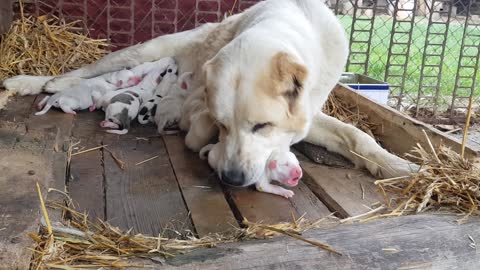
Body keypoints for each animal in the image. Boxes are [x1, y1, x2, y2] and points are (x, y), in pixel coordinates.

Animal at [2, 0, 416, 188]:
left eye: (262, 126)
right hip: (137, 52)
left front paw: (398, 166)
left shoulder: (307, 115)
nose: (231, 179)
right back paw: (35, 82)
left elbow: (357, 136)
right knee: (82, 72)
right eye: (222, 124)